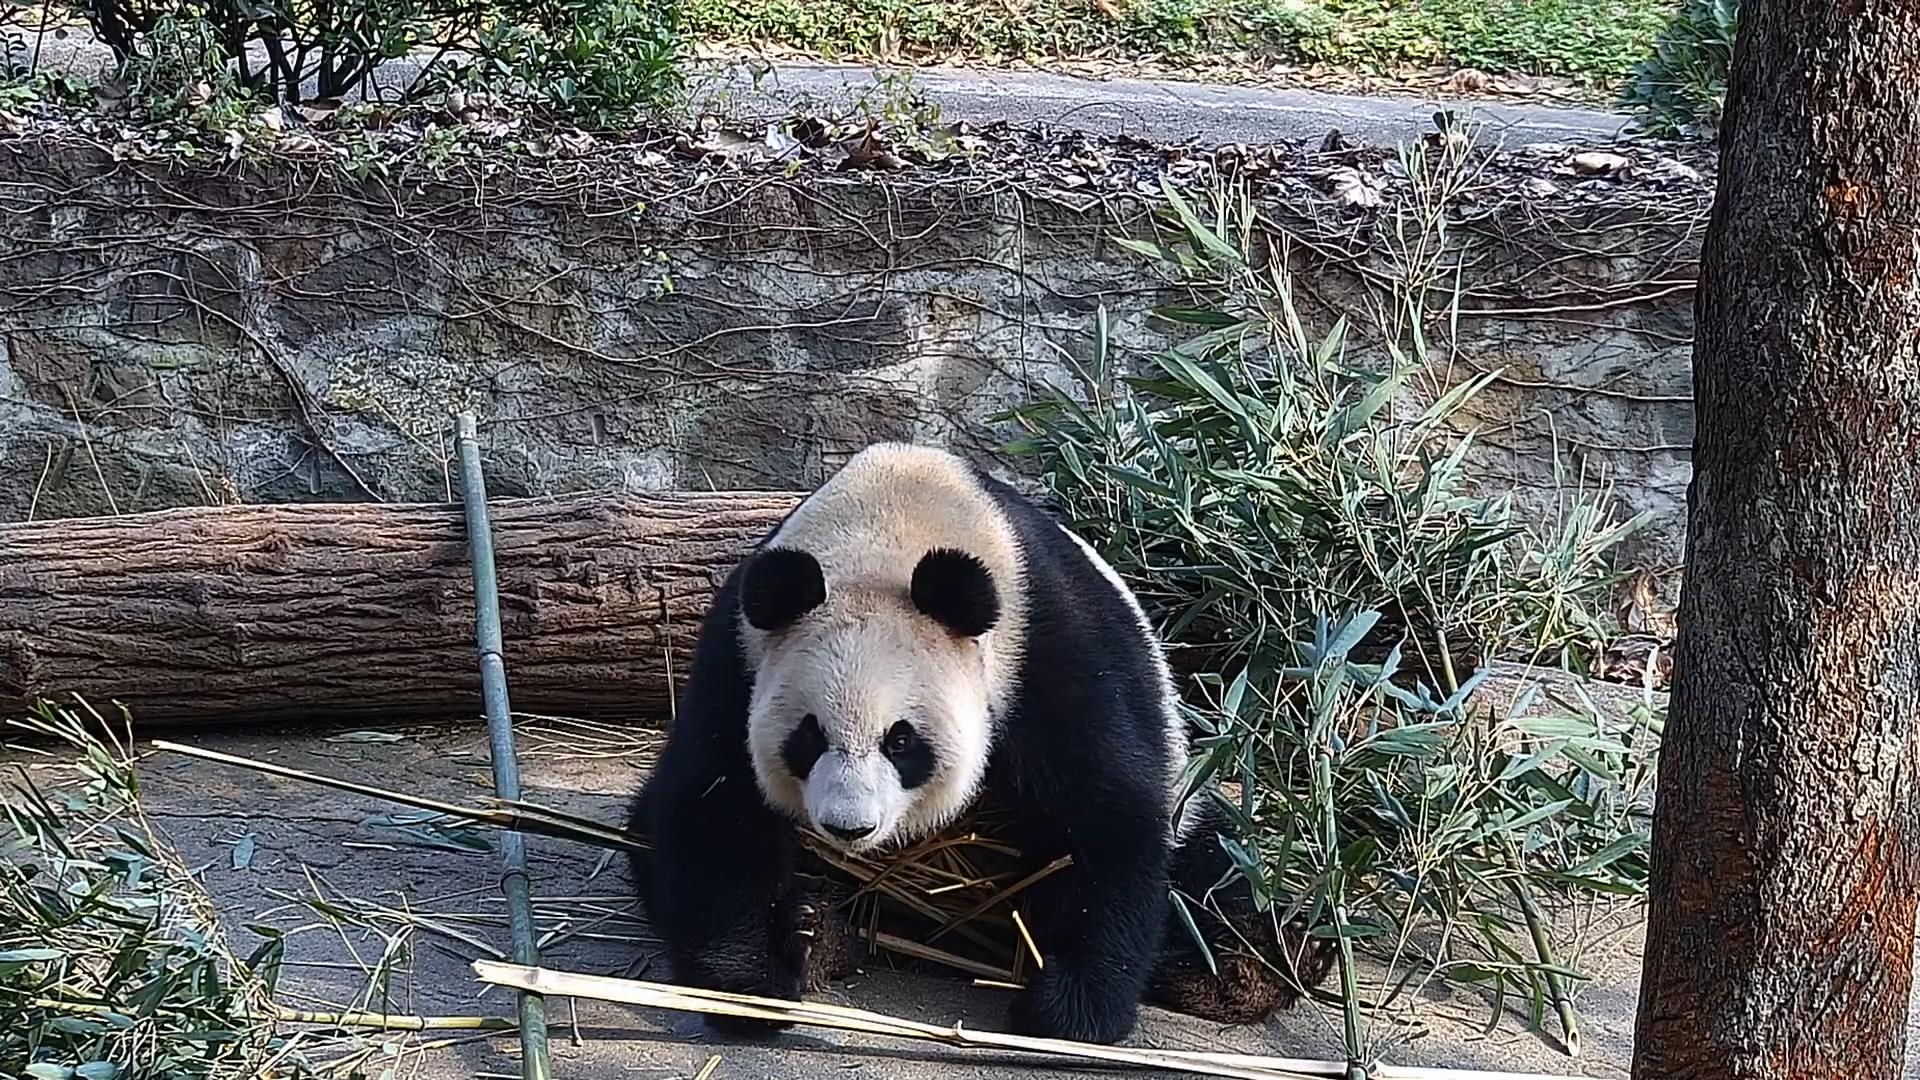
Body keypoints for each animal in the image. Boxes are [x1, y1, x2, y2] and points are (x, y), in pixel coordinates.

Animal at [630, 442, 1333, 1045]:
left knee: (1221, 872)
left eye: (901, 741)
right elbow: (713, 809)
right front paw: (748, 987)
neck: (889, 533)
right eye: (808, 737)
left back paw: (1239, 973)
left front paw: (1071, 1011)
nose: (849, 828)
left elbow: (1108, 815)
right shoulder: (740, 658)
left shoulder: (1048, 650)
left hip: (1199, 809)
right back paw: (818, 931)